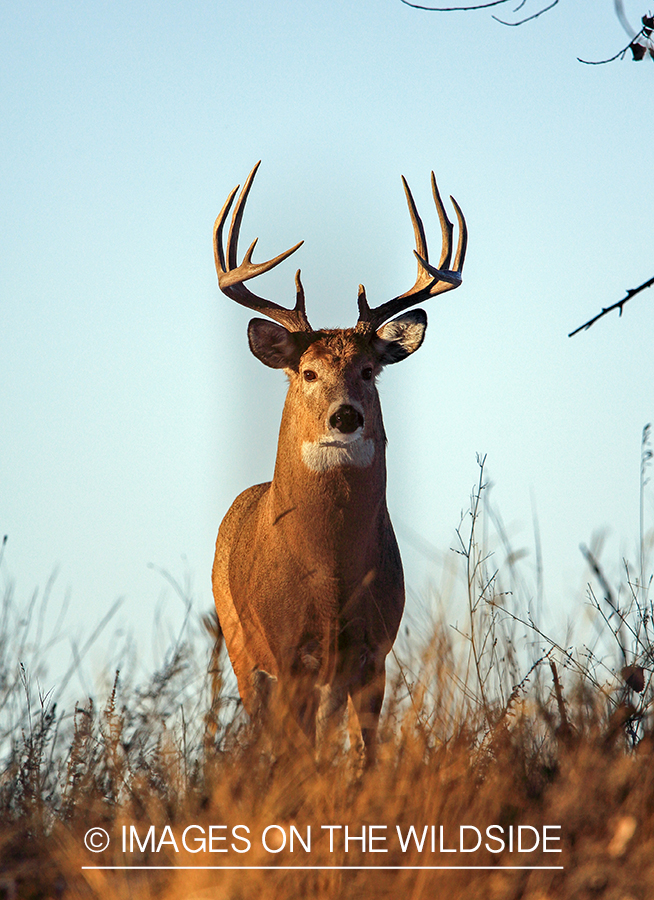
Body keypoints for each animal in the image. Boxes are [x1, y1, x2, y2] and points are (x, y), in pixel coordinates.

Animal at [211, 158, 466, 764]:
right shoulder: (286, 653)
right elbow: (299, 758)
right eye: (307, 372)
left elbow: (365, 757)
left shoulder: (374, 652)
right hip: (239, 646)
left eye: (369, 370)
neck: (329, 578)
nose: (345, 416)